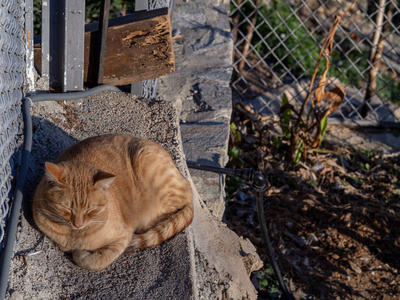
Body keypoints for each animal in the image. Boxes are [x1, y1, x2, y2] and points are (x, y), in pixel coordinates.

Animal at [32, 135, 192, 270]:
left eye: (90, 209)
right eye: (67, 208)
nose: (78, 224)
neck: (73, 236)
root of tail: (185, 179)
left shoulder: (122, 238)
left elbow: (94, 261)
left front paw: (81, 254)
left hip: (149, 164)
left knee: (179, 206)